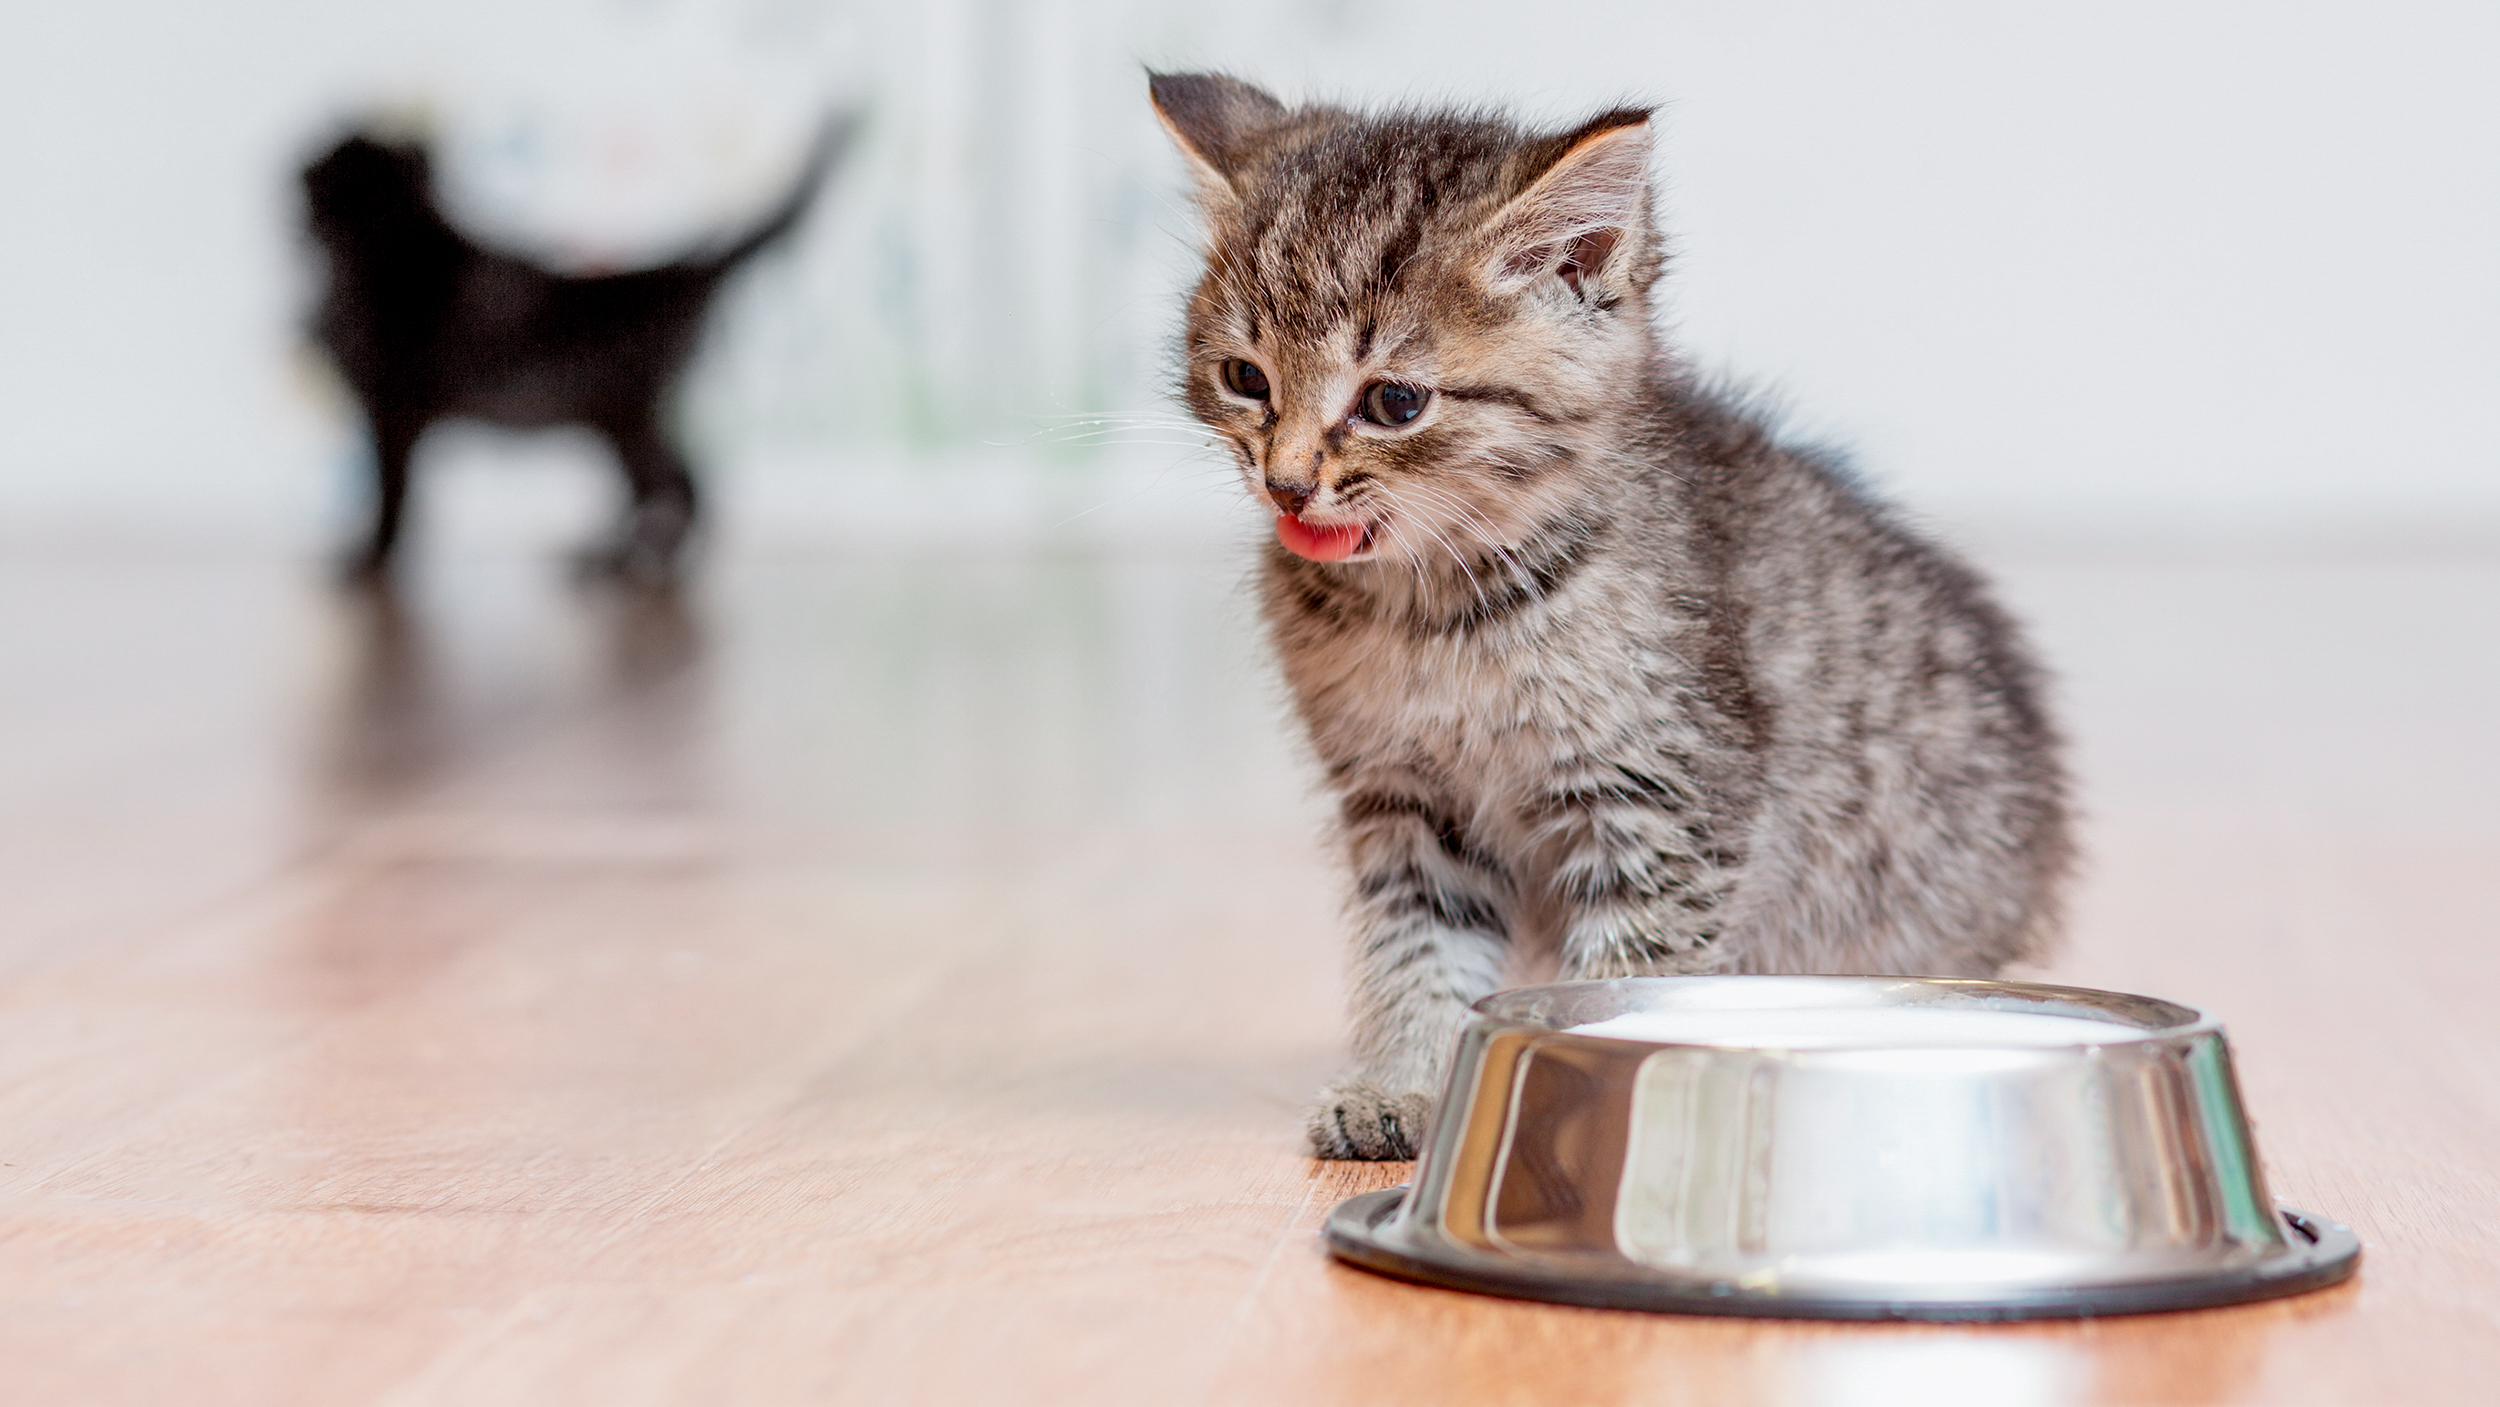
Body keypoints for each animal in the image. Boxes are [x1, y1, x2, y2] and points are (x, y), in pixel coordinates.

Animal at [298, 119, 850, 584]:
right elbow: (398, 496)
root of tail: (685, 268)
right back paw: (618, 559)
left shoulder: (394, 413)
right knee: (657, 490)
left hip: (626, 414)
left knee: (683, 487)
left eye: (361, 192)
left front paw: (371, 561)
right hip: (614, 421)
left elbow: (391, 496)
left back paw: (635, 567)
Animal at [1145, 71, 2070, 1159]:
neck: (1432, 612)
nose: (1287, 483)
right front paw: (1403, 1083)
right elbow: (1418, 948)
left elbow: (1632, 977)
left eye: (1394, 403)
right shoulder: (1405, 804)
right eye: (1245, 378)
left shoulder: (1670, 796)